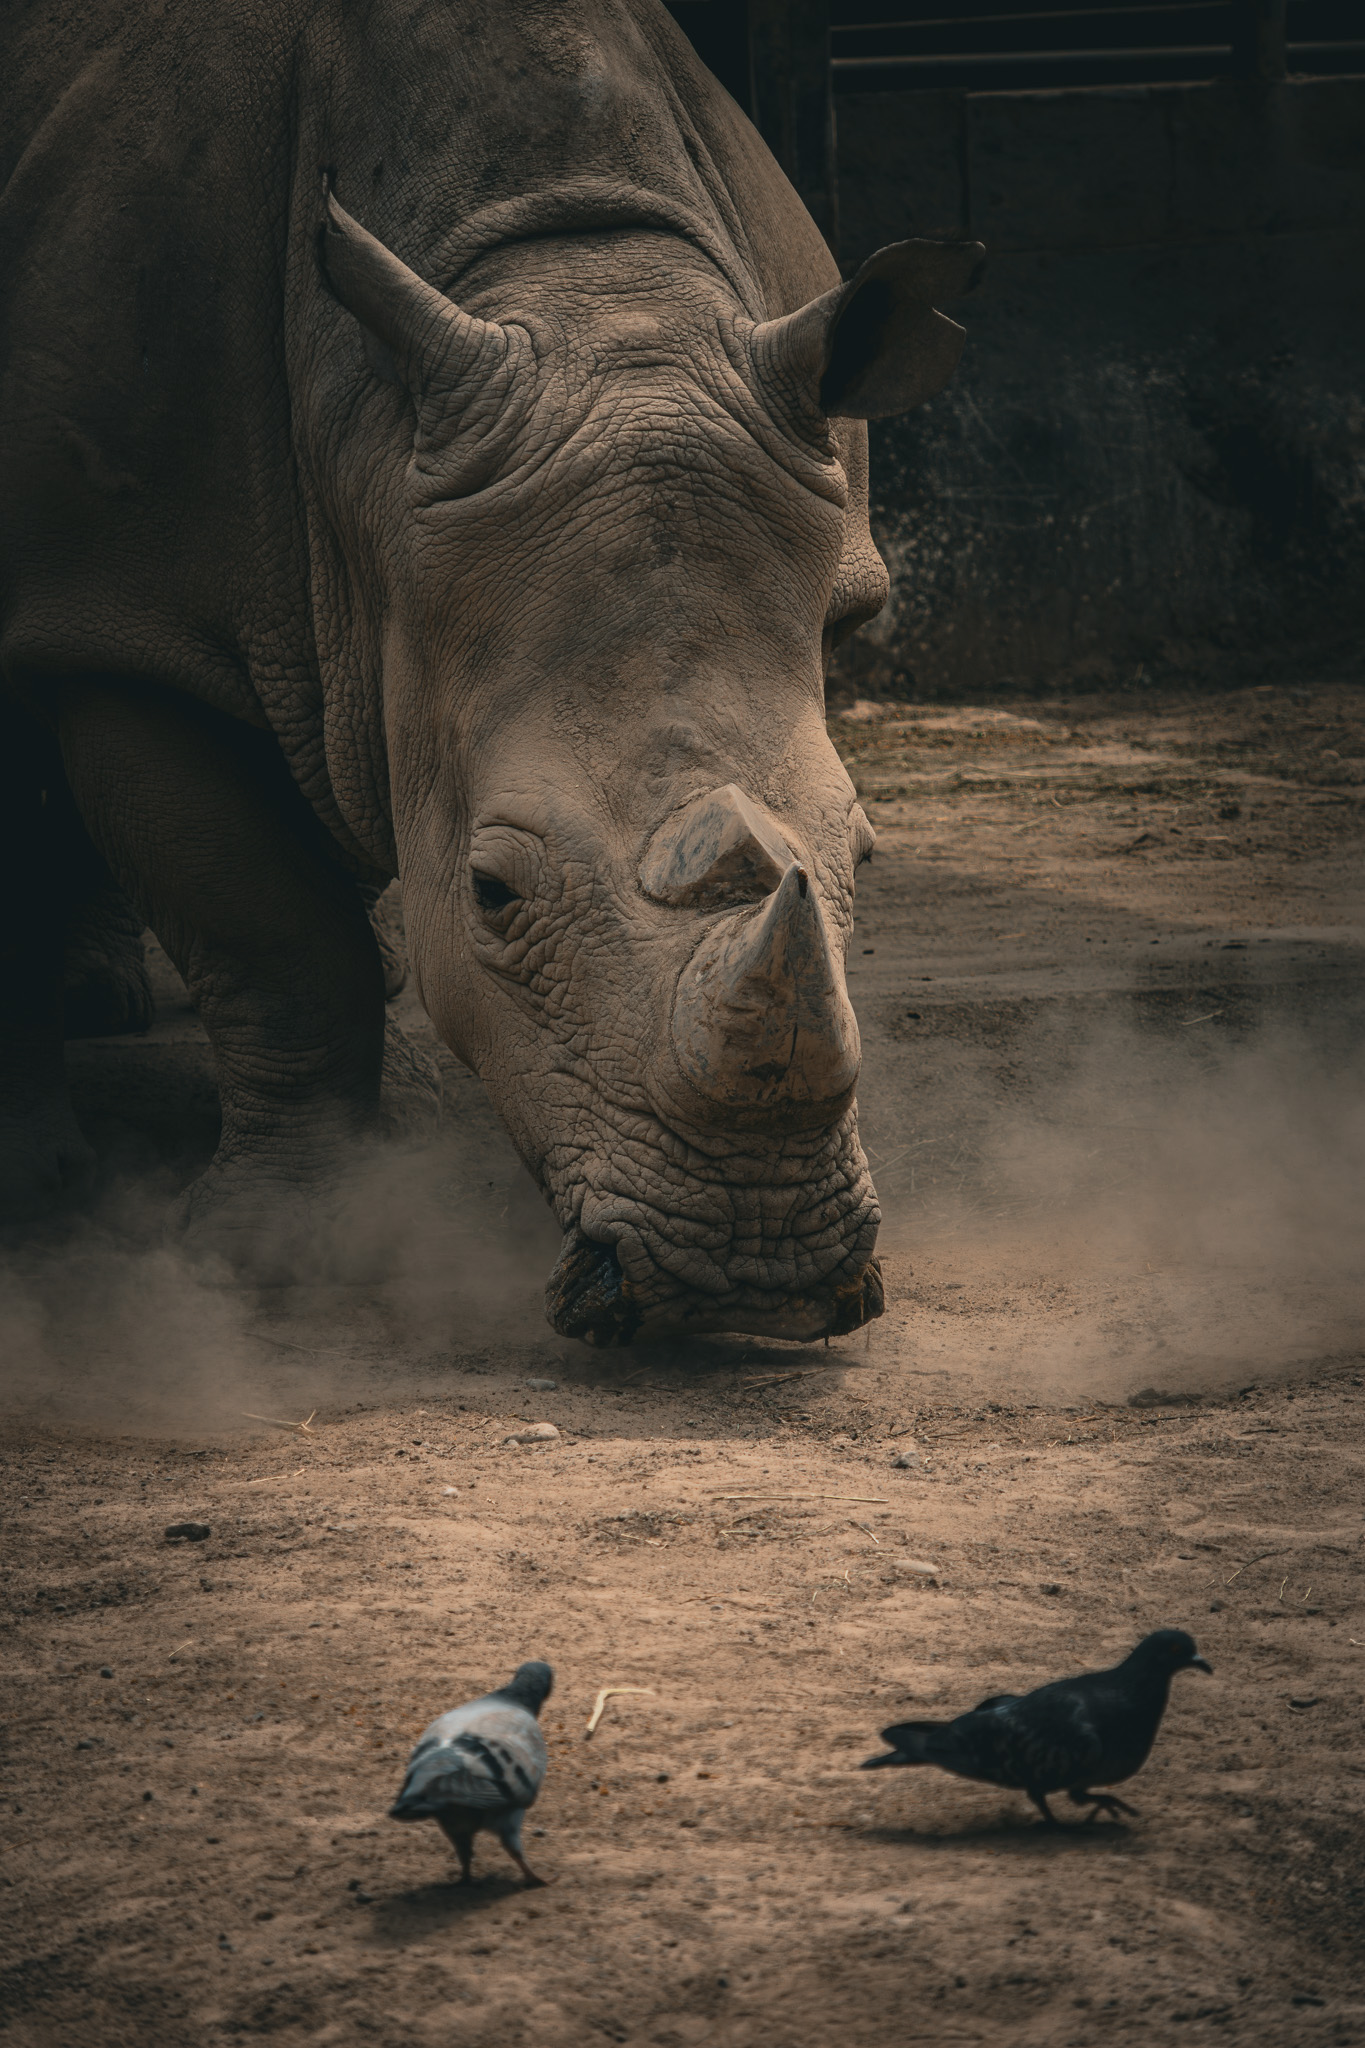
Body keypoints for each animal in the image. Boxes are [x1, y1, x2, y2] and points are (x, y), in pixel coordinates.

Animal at [0, 0, 980, 1343]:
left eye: (870, 856)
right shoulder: (134, 612)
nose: (753, 1272)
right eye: (491, 893)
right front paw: (269, 1260)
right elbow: (270, 931)